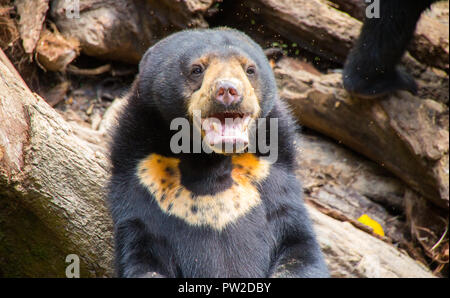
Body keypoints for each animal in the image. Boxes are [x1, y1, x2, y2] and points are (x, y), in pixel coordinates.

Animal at [107, 26, 328, 278]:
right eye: (196, 69)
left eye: (250, 69)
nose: (228, 90)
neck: (210, 163)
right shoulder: (143, 183)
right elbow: (141, 254)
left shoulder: (273, 178)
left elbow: (299, 248)